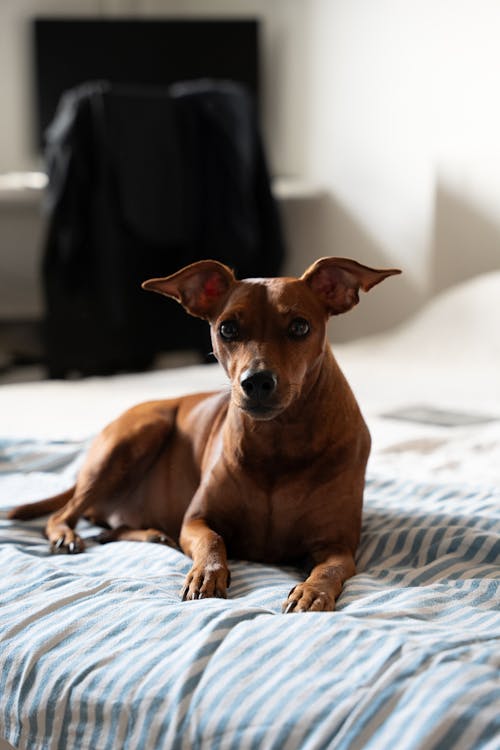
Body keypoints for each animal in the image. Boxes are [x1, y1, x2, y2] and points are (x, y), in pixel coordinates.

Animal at [8, 260, 398, 616]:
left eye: (300, 326)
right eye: (227, 328)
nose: (257, 381)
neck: (279, 441)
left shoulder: (338, 545)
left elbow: (330, 569)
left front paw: (311, 592)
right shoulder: (195, 520)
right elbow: (213, 540)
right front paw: (207, 574)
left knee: (107, 528)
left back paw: (148, 534)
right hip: (136, 436)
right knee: (62, 515)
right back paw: (68, 535)